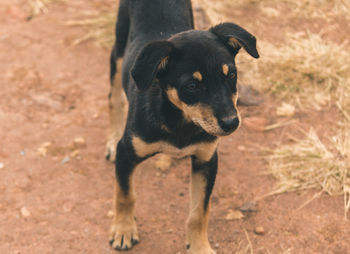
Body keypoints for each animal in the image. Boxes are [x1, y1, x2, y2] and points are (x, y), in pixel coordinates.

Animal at [105, 0, 258, 253]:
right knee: (113, 96)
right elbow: (125, 196)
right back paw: (111, 137)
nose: (231, 123)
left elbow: (199, 212)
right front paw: (123, 230)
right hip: (118, 49)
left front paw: (199, 246)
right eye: (192, 86)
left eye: (232, 75)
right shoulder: (126, 153)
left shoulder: (206, 160)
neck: (181, 123)